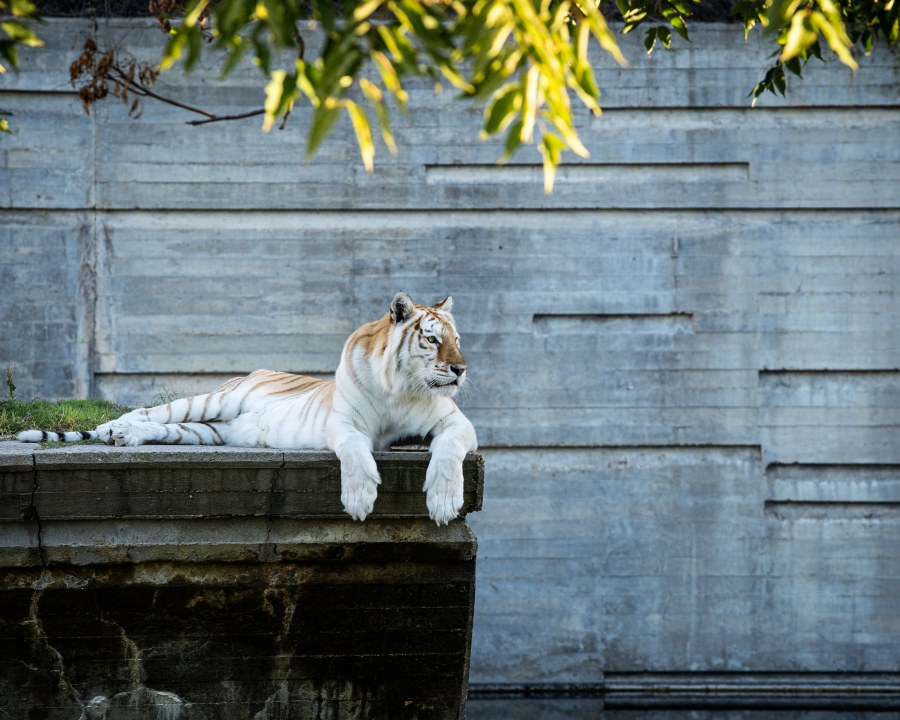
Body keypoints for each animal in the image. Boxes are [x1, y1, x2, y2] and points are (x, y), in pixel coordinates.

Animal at [17, 296, 478, 524]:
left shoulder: (456, 424)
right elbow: (355, 453)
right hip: (210, 401)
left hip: (207, 431)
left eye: (457, 340)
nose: (461, 369)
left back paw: (124, 437)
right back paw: (113, 428)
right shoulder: (345, 423)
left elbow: (448, 453)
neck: (400, 388)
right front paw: (361, 499)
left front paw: (443, 503)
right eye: (433, 340)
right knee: (147, 412)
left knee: (161, 428)